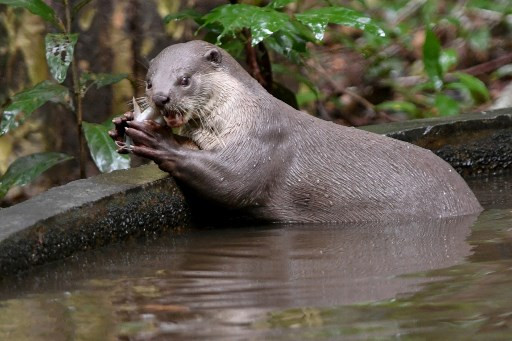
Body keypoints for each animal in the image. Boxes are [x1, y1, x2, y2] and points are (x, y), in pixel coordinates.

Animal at [109, 39, 484, 222]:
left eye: (184, 79)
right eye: (149, 81)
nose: (160, 97)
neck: (241, 113)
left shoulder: (263, 141)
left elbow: (233, 182)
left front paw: (156, 139)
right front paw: (121, 126)